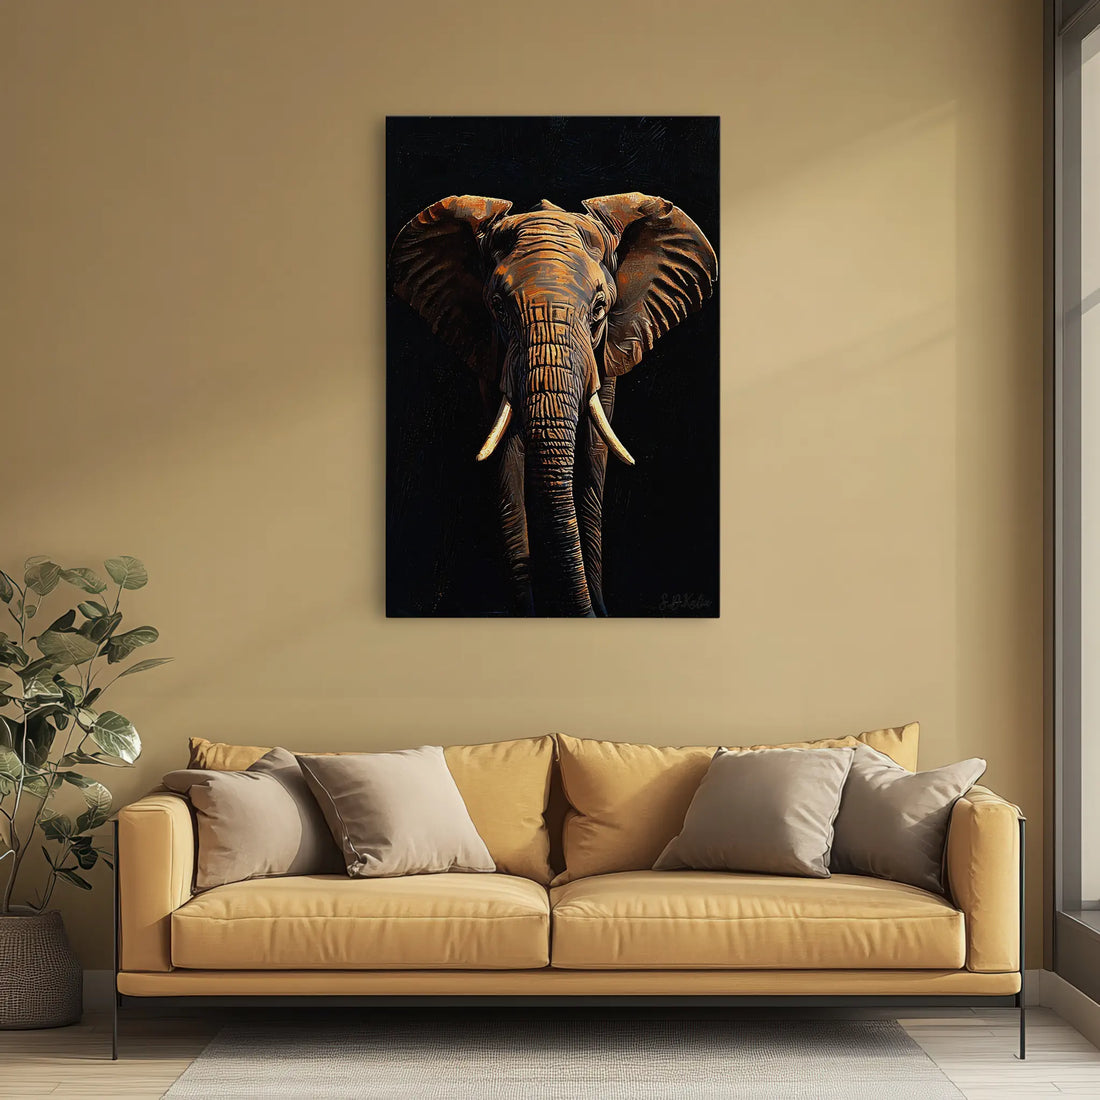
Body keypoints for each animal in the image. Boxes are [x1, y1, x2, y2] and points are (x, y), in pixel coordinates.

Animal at [388, 192, 717, 617]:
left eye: (599, 309)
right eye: (498, 306)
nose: (592, 610)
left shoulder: (606, 353)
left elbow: (594, 451)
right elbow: (506, 454)